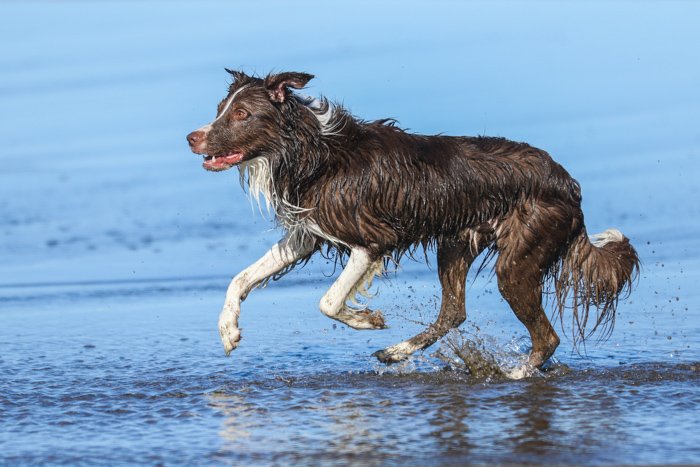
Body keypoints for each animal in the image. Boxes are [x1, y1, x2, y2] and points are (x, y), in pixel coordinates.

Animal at [186, 70, 640, 370]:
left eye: (242, 114)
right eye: (220, 109)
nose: (191, 138)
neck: (315, 153)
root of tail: (568, 184)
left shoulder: (374, 239)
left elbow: (328, 301)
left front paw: (367, 320)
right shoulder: (308, 233)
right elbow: (241, 278)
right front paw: (228, 330)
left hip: (518, 260)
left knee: (546, 336)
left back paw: (514, 374)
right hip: (456, 244)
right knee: (454, 312)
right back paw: (397, 351)